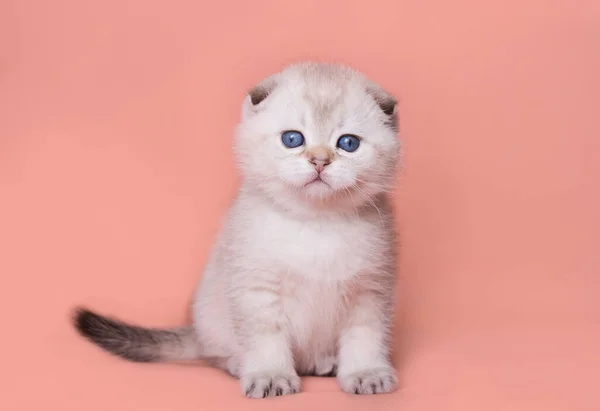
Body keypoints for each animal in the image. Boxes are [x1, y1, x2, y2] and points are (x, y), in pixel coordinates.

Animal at [76, 62, 404, 400]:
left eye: (348, 143)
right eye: (292, 139)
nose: (319, 161)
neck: (317, 222)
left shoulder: (370, 291)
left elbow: (365, 338)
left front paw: (365, 373)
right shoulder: (257, 290)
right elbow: (266, 339)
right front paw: (270, 375)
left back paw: (326, 363)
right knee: (217, 354)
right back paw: (238, 363)